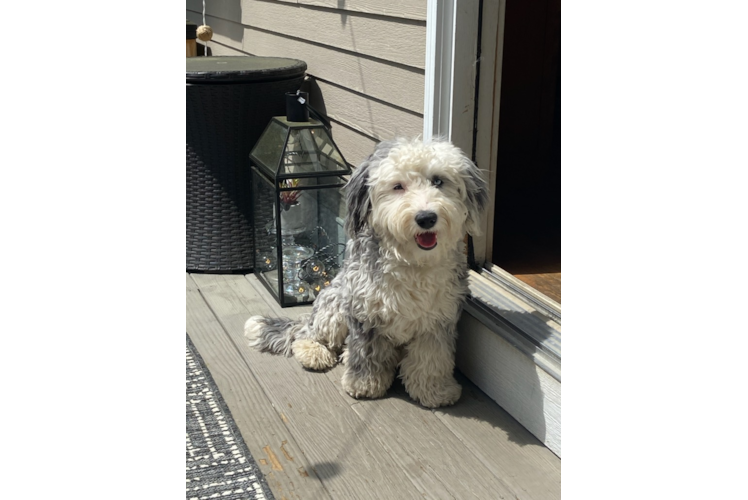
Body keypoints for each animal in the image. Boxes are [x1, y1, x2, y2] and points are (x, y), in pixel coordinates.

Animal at [245, 136, 488, 406]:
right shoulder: (365, 313)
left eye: (438, 180)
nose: (426, 218)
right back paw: (315, 352)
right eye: (398, 186)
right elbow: (367, 354)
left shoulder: (438, 319)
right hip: (334, 304)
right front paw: (364, 385)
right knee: (307, 333)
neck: (412, 262)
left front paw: (434, 391)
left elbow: (432, 357)